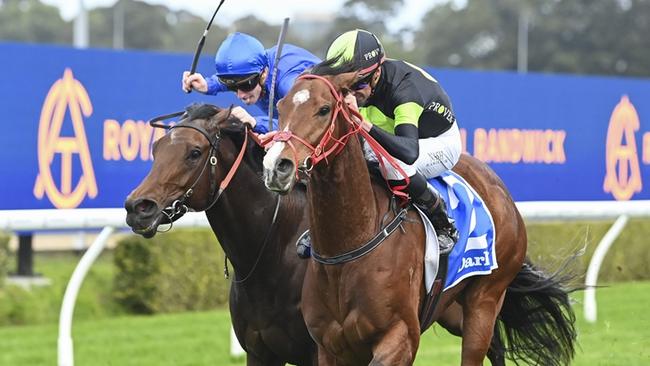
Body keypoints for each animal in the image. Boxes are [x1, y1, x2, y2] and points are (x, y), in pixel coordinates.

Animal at [260, 64, 576, 364]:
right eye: (281, 106)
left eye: (324, 109)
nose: (277, 166)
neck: (350, 245)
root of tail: (500, 190)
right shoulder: (330, 347)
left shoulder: (400, 337)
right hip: (452, 308)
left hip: (485, 300)